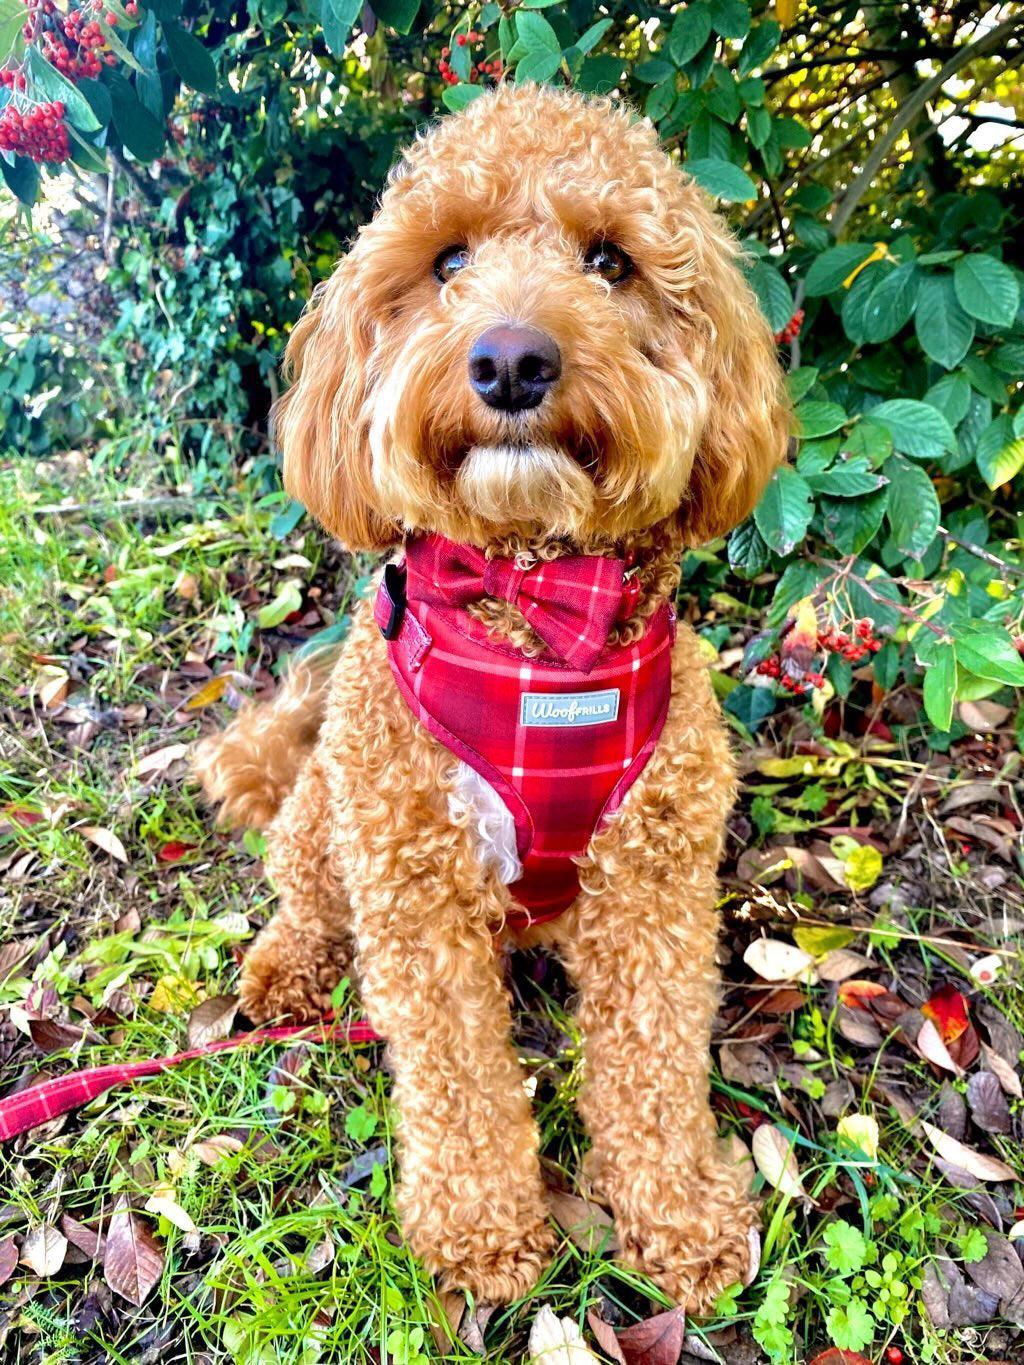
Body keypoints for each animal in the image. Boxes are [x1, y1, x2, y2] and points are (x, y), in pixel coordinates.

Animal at [193, 77, 786, 1310]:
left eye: (609, 262)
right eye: (448, 260)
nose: (511, 362)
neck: (537, 624)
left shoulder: (654, 882)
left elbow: (653, 1059)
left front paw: (679, 1216)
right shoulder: (413, 889)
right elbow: (459, 1076)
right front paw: (481, 1232)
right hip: (329, 809)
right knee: (300, 893)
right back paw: (283, 965)